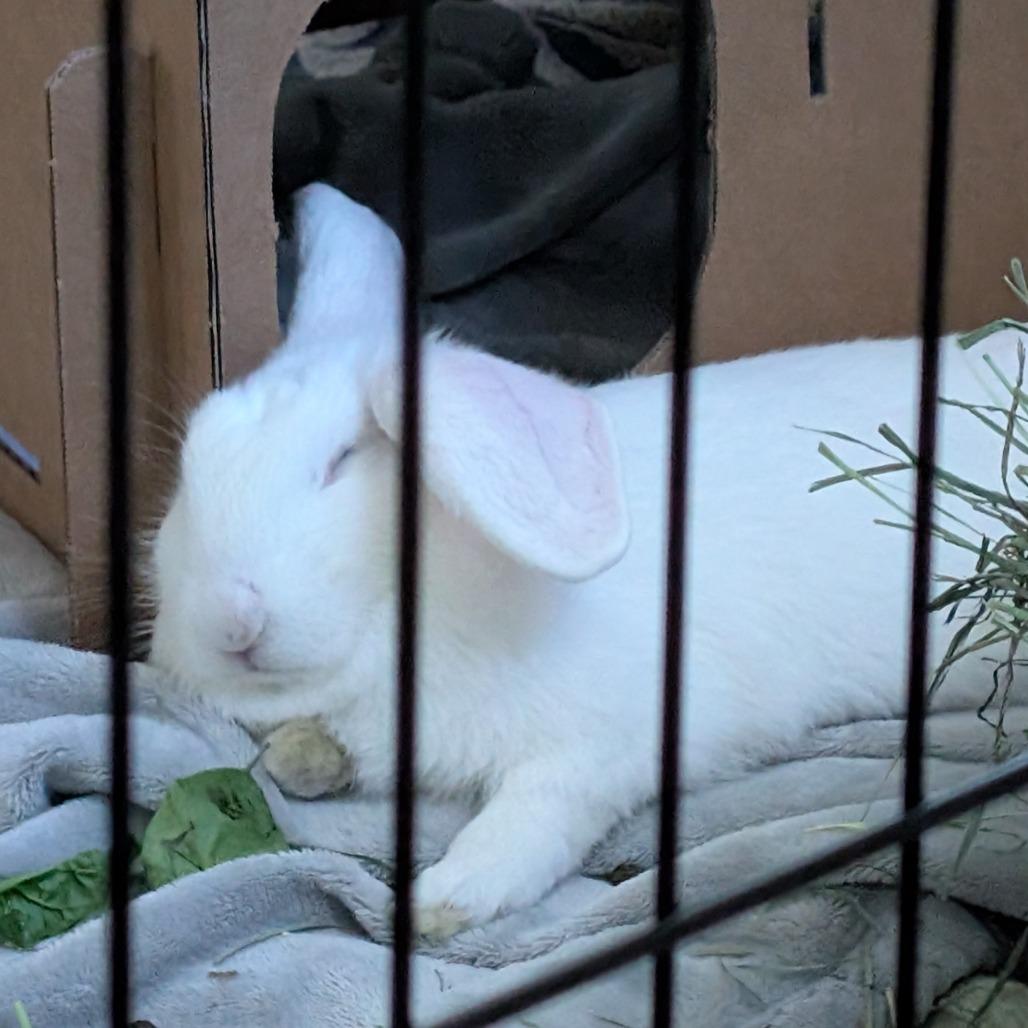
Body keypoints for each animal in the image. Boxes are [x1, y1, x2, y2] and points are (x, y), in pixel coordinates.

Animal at [149, 181, 1021, 940]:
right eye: (189, 470)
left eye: (339, 463)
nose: (230, 619)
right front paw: (297, 760)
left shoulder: (621, 736)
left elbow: (542, 808)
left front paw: (446, 900)